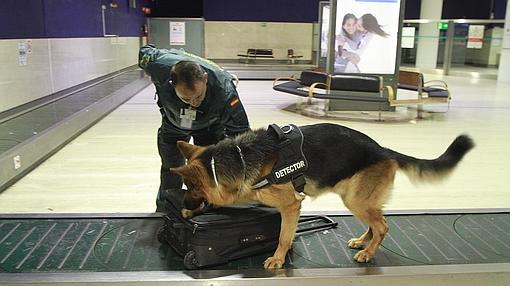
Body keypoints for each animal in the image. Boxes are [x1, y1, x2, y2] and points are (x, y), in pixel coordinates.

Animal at [170, 123, 474, 268]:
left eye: (192, 188)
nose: (182, 203)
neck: (241, 159)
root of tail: (383, 150)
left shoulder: (291, 206)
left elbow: (283, 237)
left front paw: (278, 259)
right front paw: (189, 212)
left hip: (356, 200)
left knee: (383, 226)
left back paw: (368, 252)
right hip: (357, 199)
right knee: (376, 222)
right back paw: (363, 241)